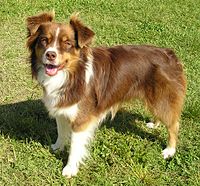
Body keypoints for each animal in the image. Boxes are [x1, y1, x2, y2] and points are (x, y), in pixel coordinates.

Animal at [25, 11, 187, 177]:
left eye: (68, 43)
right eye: (44, 40)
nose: (50, 55)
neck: (72, 74)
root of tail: (170, 54)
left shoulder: (81, 120)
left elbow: (75, 147)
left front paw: (70, 169)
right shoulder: (62, 108)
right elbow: (61, 131)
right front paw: (57, 147)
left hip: (162, 98)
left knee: (174, 124)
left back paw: (170, 150)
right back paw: (155, 124)